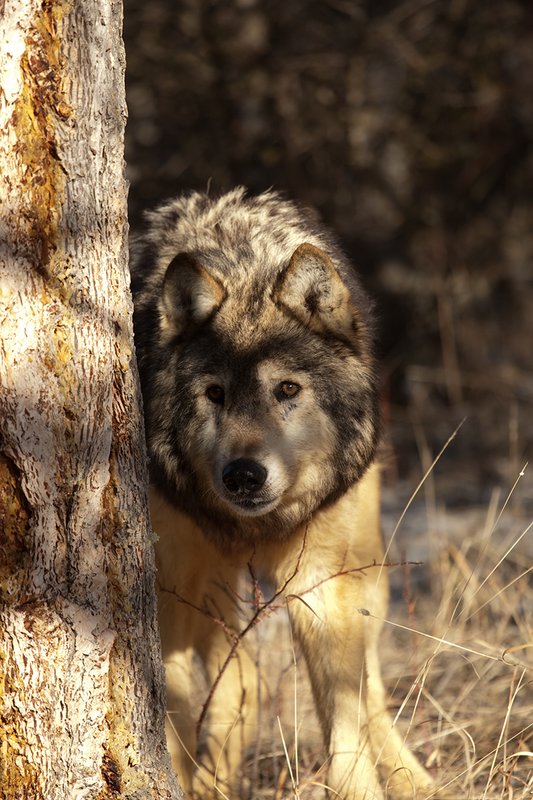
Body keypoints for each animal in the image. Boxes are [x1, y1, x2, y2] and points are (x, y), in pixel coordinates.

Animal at [131, 188, 436, 800]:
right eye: (215, 394)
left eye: (287, 389)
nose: (244, 476)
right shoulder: (171, 586)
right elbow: (176, 714)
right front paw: (186, 777)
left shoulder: (322, 587)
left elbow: (344, 721)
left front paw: (365, 787)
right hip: (212, 586)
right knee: (238, 675)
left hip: (366, 572)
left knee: (370, 690)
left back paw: (414, 778)